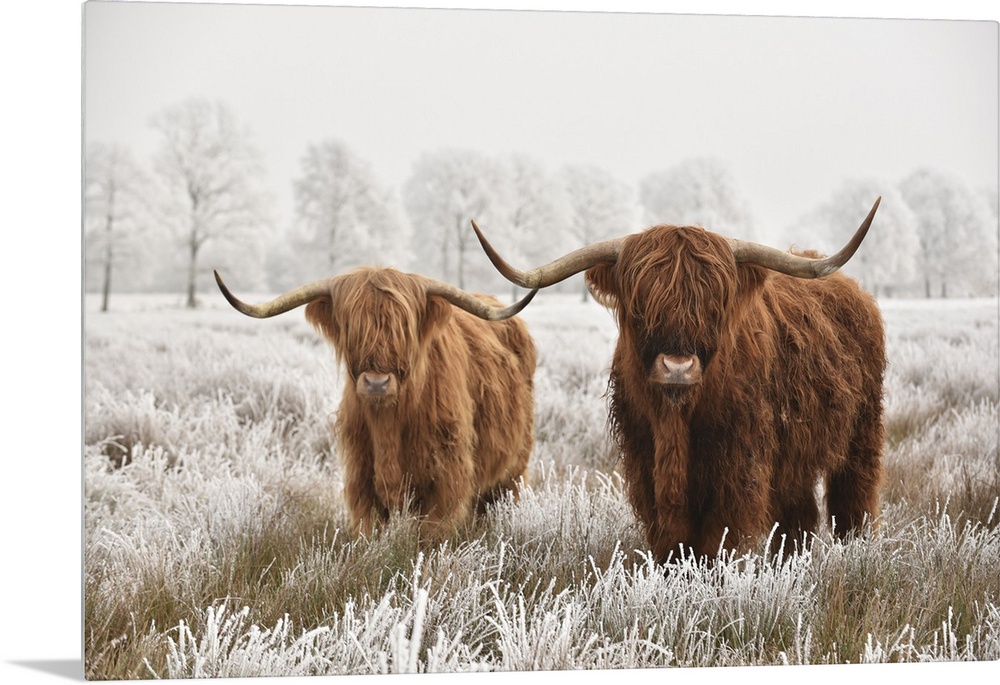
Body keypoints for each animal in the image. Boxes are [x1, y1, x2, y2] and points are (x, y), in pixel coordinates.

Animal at [214, 268, 536, 540]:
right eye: (351, 327)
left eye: (404, 328)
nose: (377, 382)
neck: (388, 423)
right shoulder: (361, 478)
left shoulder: (446, 479)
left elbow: (431, 535)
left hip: (513, 468)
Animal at [472, 198, 888, 560]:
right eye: (640, 304)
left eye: (714, 304)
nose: (677, 367)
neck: (676, 420)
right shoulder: (645, 465)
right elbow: (671, 541)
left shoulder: (738, 469)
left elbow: (717, 541)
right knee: (798, 516)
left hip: (862, 434)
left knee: (853, 499)